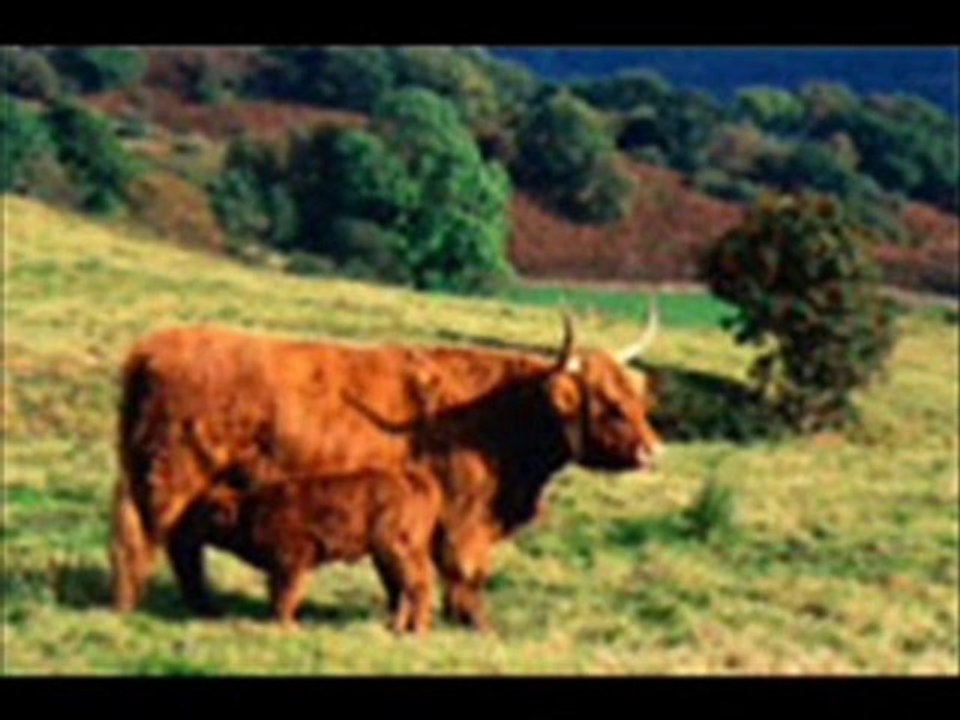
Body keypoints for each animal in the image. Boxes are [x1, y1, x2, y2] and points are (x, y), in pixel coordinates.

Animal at [111, 306, 663, 630]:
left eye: (637, 399)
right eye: (611, 406)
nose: (652, 451)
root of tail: (149, 351)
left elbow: (404, 577)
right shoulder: (462, 518)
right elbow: (464, 572)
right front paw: (473, 625)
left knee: (174, 543)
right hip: (171, 479)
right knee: (155, 541)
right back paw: (144, 606)